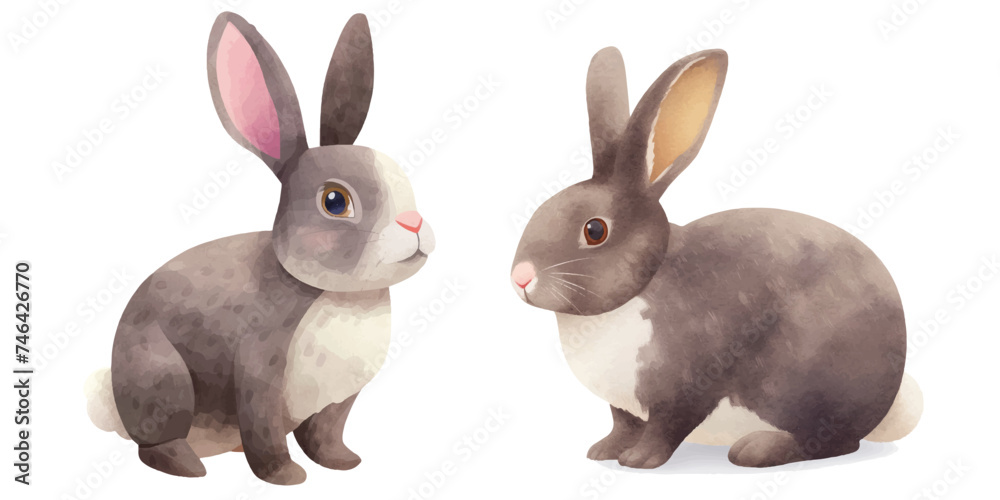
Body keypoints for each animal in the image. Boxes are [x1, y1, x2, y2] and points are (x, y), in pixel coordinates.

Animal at [84, 12, 435, 485]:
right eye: (335, 201)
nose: (413, 224)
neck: (343, 296)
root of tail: (116, 412)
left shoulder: (338, 401)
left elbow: (324, 435)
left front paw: (343, 463)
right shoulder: (258, 372)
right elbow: (265, 432)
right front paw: (286, 477)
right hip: (164, 381)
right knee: (155, 445)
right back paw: (189, 468)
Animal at [510, 47, 922, 469]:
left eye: (595, 231)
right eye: (542, 210)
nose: (521, 277)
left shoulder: (685, 387)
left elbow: (666, 426)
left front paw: (639, 460)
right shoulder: (622, 405)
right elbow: (622, 423)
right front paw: (603, 452)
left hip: (799, 383)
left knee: (830, 440)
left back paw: (757, 449)